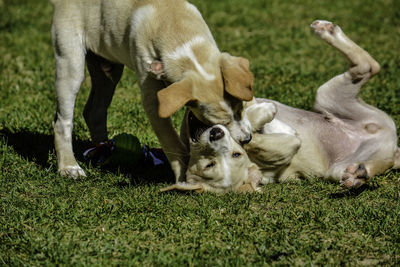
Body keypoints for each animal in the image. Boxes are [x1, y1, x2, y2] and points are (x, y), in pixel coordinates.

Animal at [50, 0, 253, 182]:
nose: (248, 139)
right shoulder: (153, 99)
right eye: (219, 122)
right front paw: (183, 177)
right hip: (71, 62)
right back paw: (70, 167)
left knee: (94, 112)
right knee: (62, 121)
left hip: (108, 71)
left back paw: (104, 151)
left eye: (241, 109)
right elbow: (171, 140)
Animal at [162, 19, 400, 194]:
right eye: (209, 164)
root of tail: (392, 147)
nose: (215, 134)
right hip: (337, 149)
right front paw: (258, 118)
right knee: (368, 67)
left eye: (236, 156)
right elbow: (256, 136)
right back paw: (359, 174)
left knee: (369, 66)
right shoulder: (282, 143)